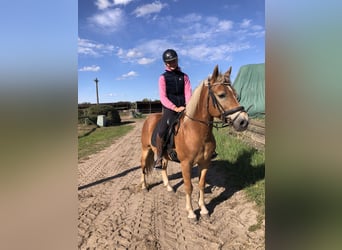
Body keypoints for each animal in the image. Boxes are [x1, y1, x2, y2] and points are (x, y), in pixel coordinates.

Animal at [139, 64, 248, 219]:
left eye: (236, 94)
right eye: (222, 95)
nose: (243, 121)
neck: (196, 132)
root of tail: (149, 118)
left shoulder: (205, 162)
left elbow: (201, 185)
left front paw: (203, 209)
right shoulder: (186, 164)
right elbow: (188, 186)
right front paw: (191, 212)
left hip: (163, 155)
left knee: (164, 167)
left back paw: (168, 186)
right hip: (145, 149)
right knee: (143, 166)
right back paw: (144, 186)